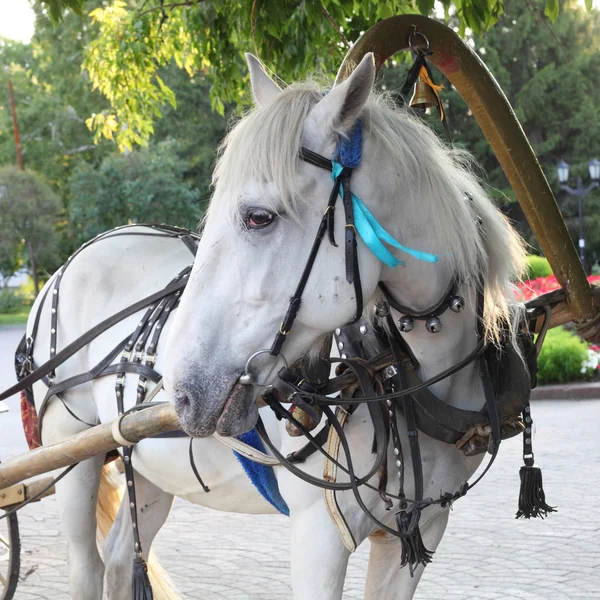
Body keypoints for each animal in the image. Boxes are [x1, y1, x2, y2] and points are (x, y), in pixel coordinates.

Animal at [25, 54, 528, 596]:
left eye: (258, 217)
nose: (182, 391)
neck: (409, 376)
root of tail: (64, 267)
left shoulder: (422, 530)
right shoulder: (320, 531)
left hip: (151, 466)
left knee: (120, 558)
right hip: (70, 448)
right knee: (87, 564)